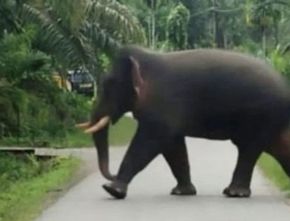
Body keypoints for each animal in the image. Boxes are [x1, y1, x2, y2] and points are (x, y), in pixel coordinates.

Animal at [77, 45, 290, 199]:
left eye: (109, 85)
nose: (111, 175)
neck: (148, 58)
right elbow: (174, 147)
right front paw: (182, 192)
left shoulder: (163, 106)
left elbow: (148, 143)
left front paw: (112, 190)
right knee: (278, 149)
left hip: (262, 117)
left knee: (248, 149)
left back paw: (234, 193)